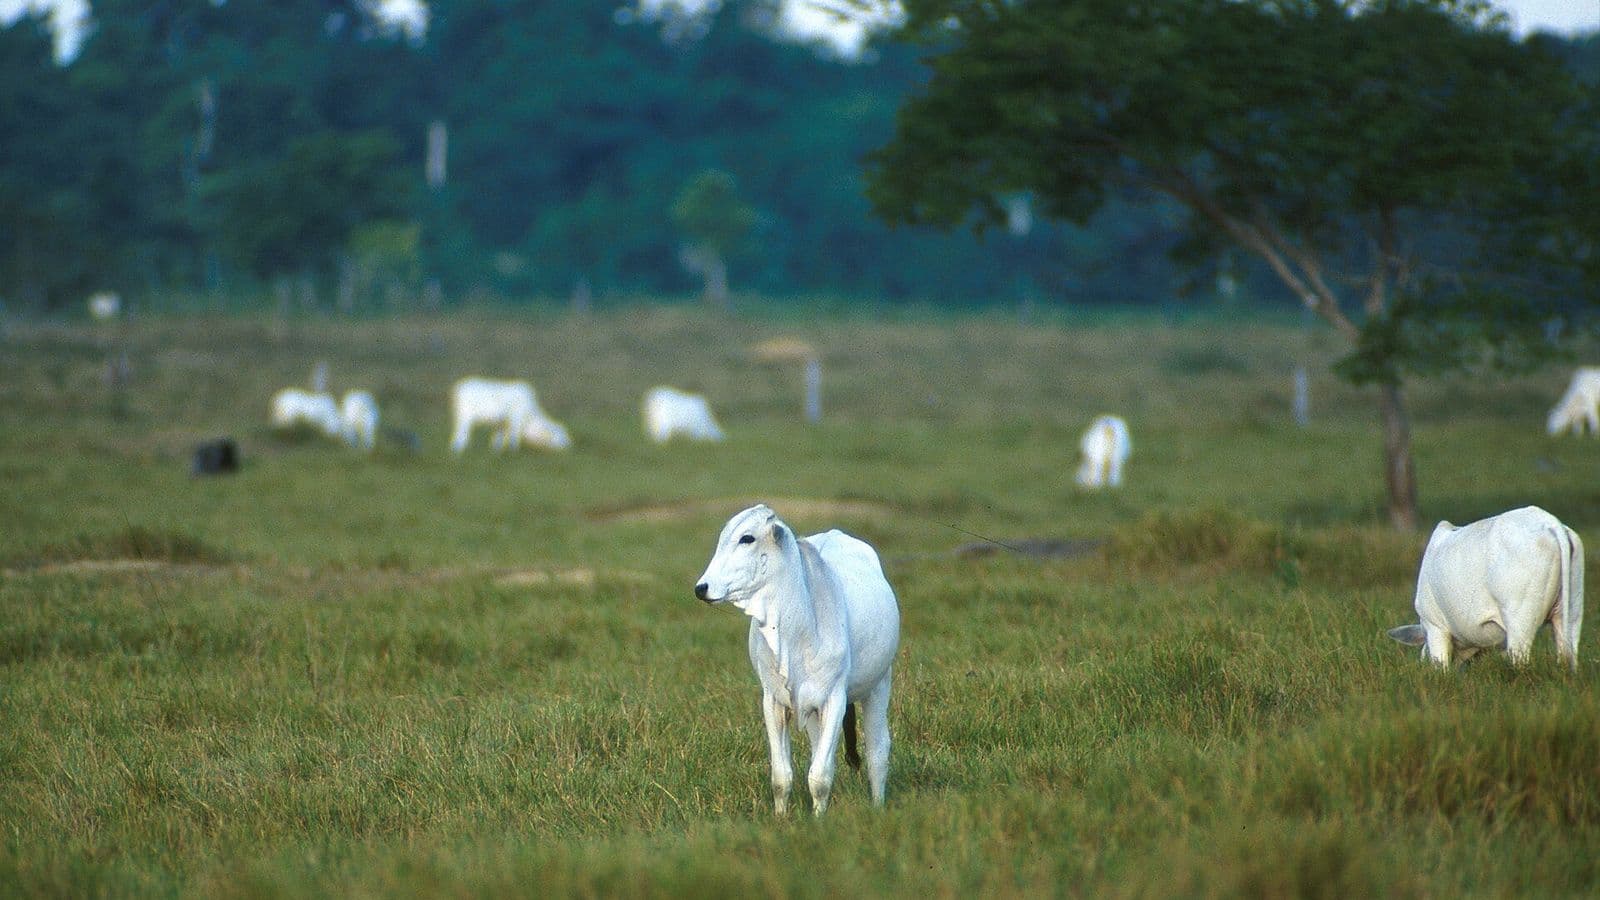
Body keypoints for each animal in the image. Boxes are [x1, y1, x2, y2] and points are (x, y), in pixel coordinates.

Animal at [695, 504, 900, 815]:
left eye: (747, 538)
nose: (701, 587)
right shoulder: (773, 700)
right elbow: (782, 776)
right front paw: (782, 818)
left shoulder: (835, 698)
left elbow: (820, 777)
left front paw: (819, 820)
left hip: (879, 684)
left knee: (877, 752)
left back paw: (877, 806)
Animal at [1388, 505, 1583, 670]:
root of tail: (1551, 523)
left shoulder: (1435, 625)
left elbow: (1441, 666)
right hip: (1571, 612)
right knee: (1568, 654)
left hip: (1520, 619)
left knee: (1520, 660)